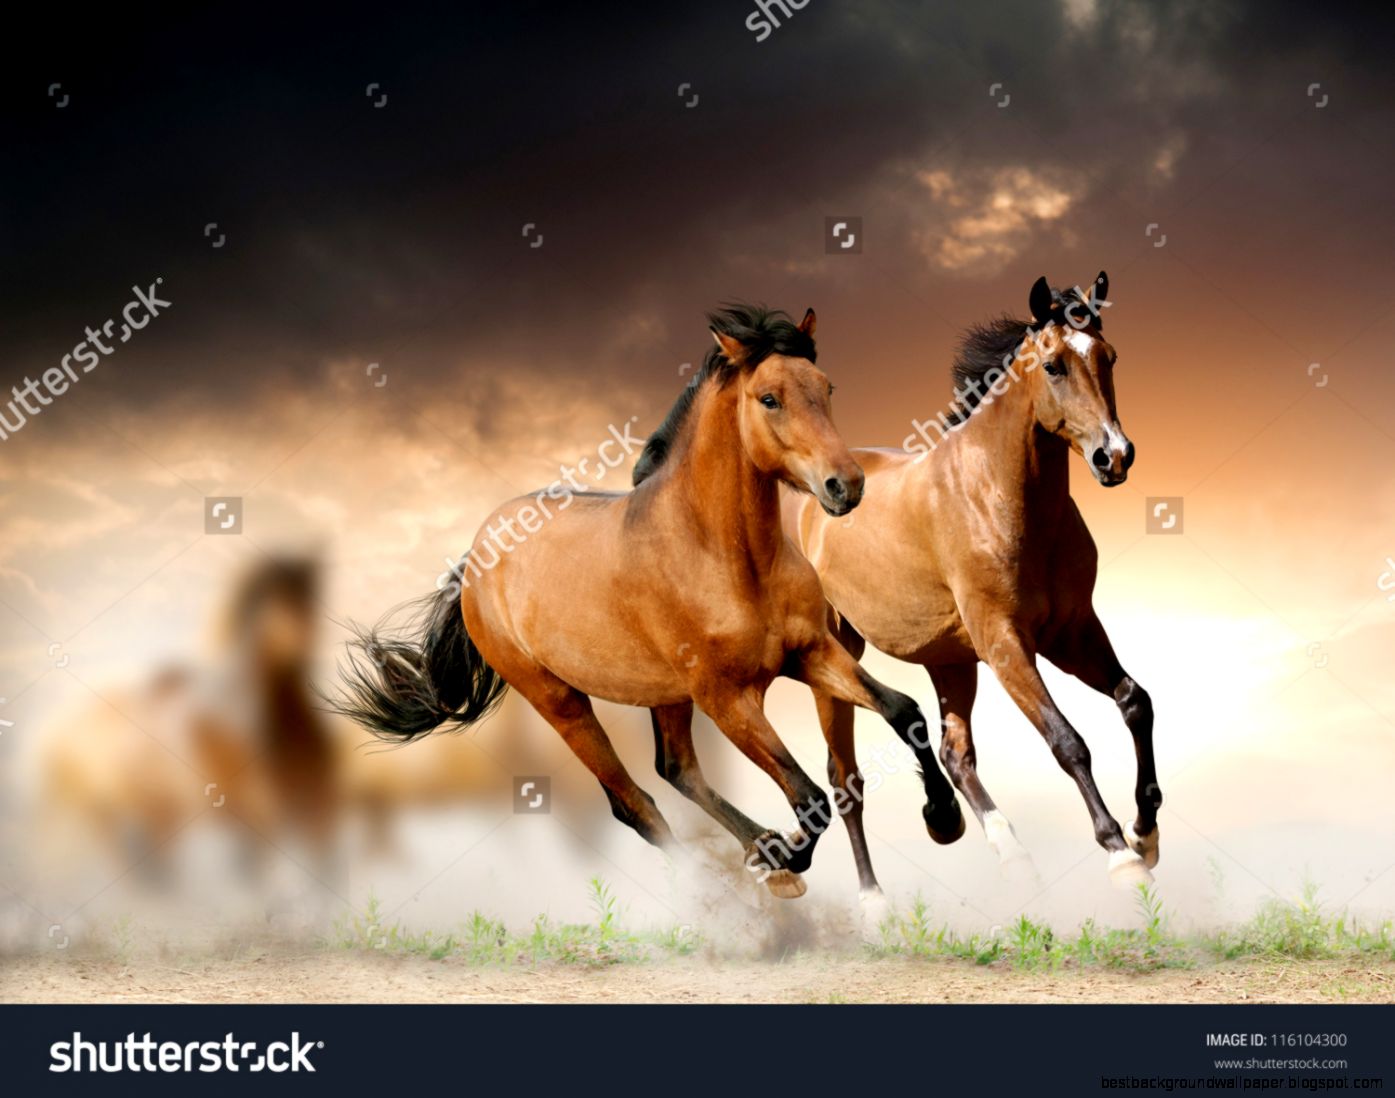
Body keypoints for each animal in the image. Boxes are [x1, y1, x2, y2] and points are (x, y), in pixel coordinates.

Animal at [331, 304, 963, 898]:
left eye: (827, 387)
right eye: (769, 398)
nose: (845, 486)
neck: (727, 557)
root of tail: (475, 560)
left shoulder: (810, 653)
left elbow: (903, 711)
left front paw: (943, 818)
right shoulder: (727, 698)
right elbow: (809, 798)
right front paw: (788, 855)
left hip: (666, 695)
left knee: (676, 769)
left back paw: (759, 852)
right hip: (561, 701)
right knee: (635, 803)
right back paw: (734, 884)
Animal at [787, 272, 1161, 897]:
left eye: (1108, 357)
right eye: (1055, 365)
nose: (1115, 456)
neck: (1000, 496)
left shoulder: (1072, 632)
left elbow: (1136, 702)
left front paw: (1146, 832)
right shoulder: (1005, 642)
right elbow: (1068, 741)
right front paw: (1119, 853)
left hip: (950, 661)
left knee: (955, 753)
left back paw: (999, 847)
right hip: (838, 654)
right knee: (845, 779)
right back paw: (873, 900)